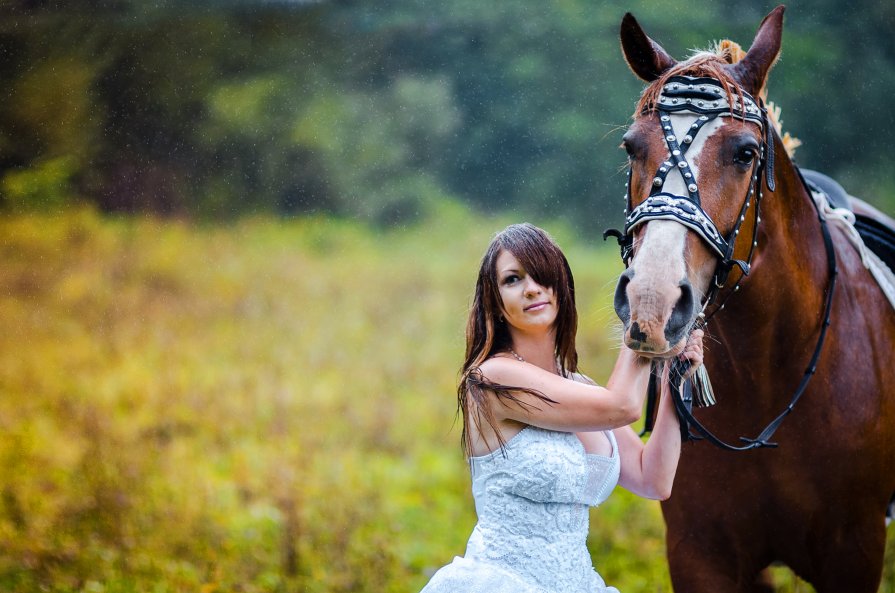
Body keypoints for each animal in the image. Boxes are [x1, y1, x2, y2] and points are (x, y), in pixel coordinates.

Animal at [612, 5, 892, 592]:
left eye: (746, 154)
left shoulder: (854, 551)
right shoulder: (700, 553)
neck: (767, 376)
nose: (652, 300)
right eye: (631, 147)